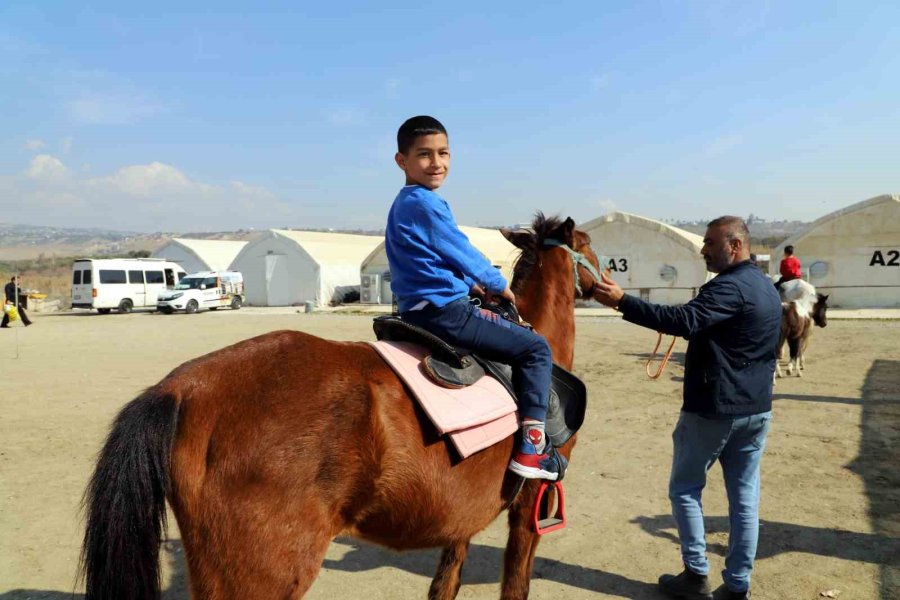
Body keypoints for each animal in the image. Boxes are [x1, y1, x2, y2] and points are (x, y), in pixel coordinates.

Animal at [82, 216, 604, 600]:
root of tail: (181, 387)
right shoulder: (528, 505)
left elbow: (446, 582)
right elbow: (514, 584)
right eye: (593, 249)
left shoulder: (464, 511)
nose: (611, 285)